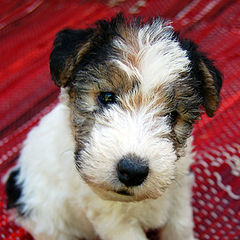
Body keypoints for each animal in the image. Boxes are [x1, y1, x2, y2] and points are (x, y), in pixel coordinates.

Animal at [5, 13, 222, 240]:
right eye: (107, 97)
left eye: (172, 115)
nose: (133, 171)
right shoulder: (115, 221)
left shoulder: (179, 196)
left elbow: (180, 229)